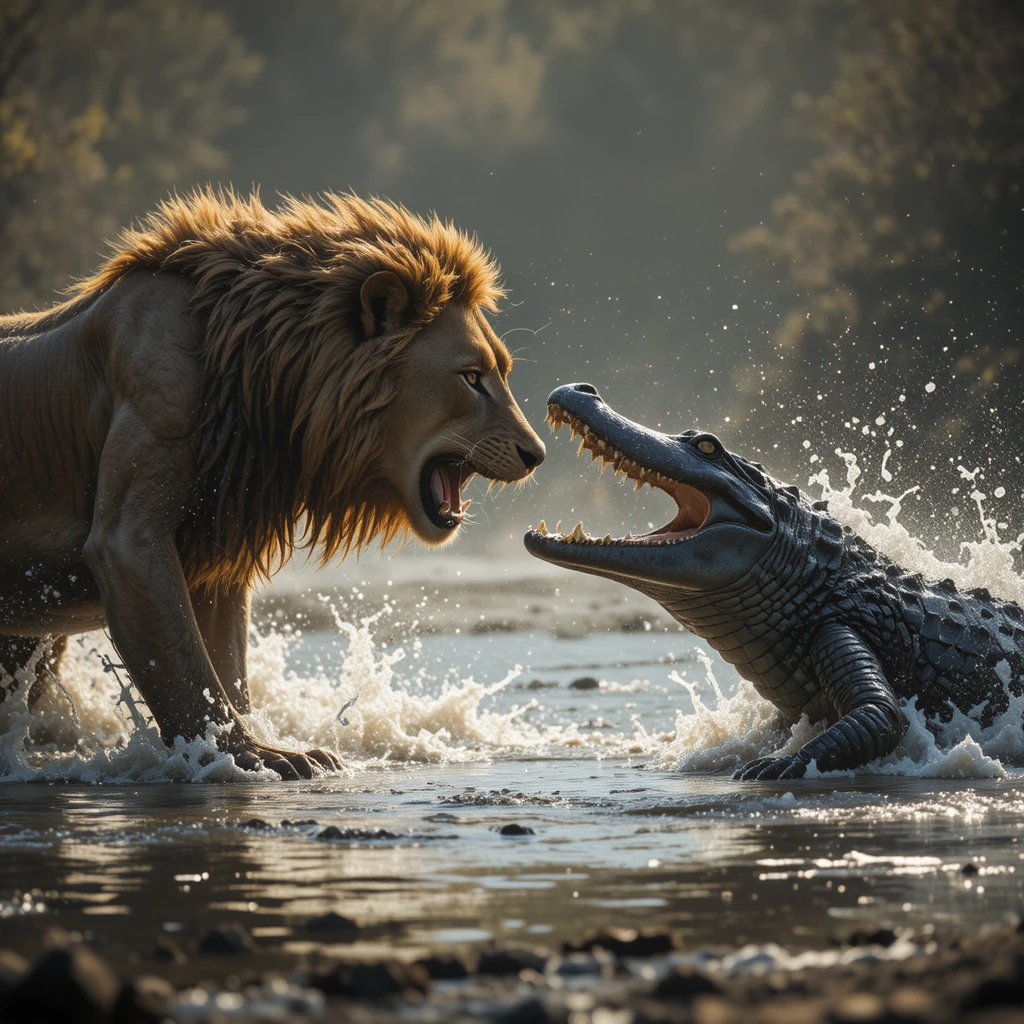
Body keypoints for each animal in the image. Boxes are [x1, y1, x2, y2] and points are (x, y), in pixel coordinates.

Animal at [0, 189, 545, 778]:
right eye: (471, 378)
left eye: (502, 373)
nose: (536, 454)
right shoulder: (133, 526)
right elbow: (189, 672)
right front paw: (255, 755)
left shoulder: (214, 547)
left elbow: (225, 668)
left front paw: (265, 743)